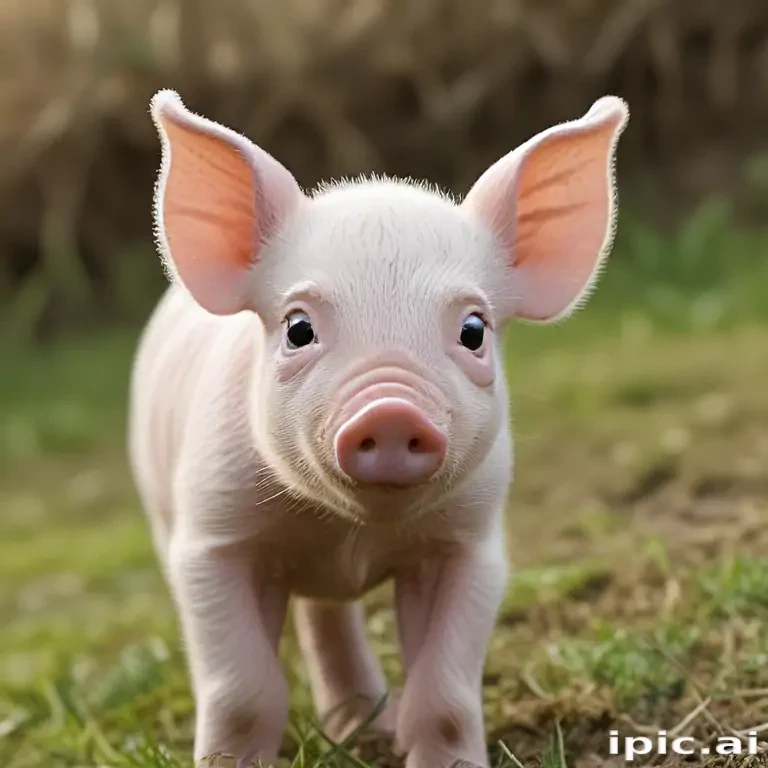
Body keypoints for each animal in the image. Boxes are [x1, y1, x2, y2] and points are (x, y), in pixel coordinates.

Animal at [127, 89, 629, 768]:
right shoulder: (210, 538)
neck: (352, 533)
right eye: (298, 328)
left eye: (474, 330)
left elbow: (445, 694)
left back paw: (365, 732)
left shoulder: (471, 543)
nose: (391, 412)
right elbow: (244, 691)